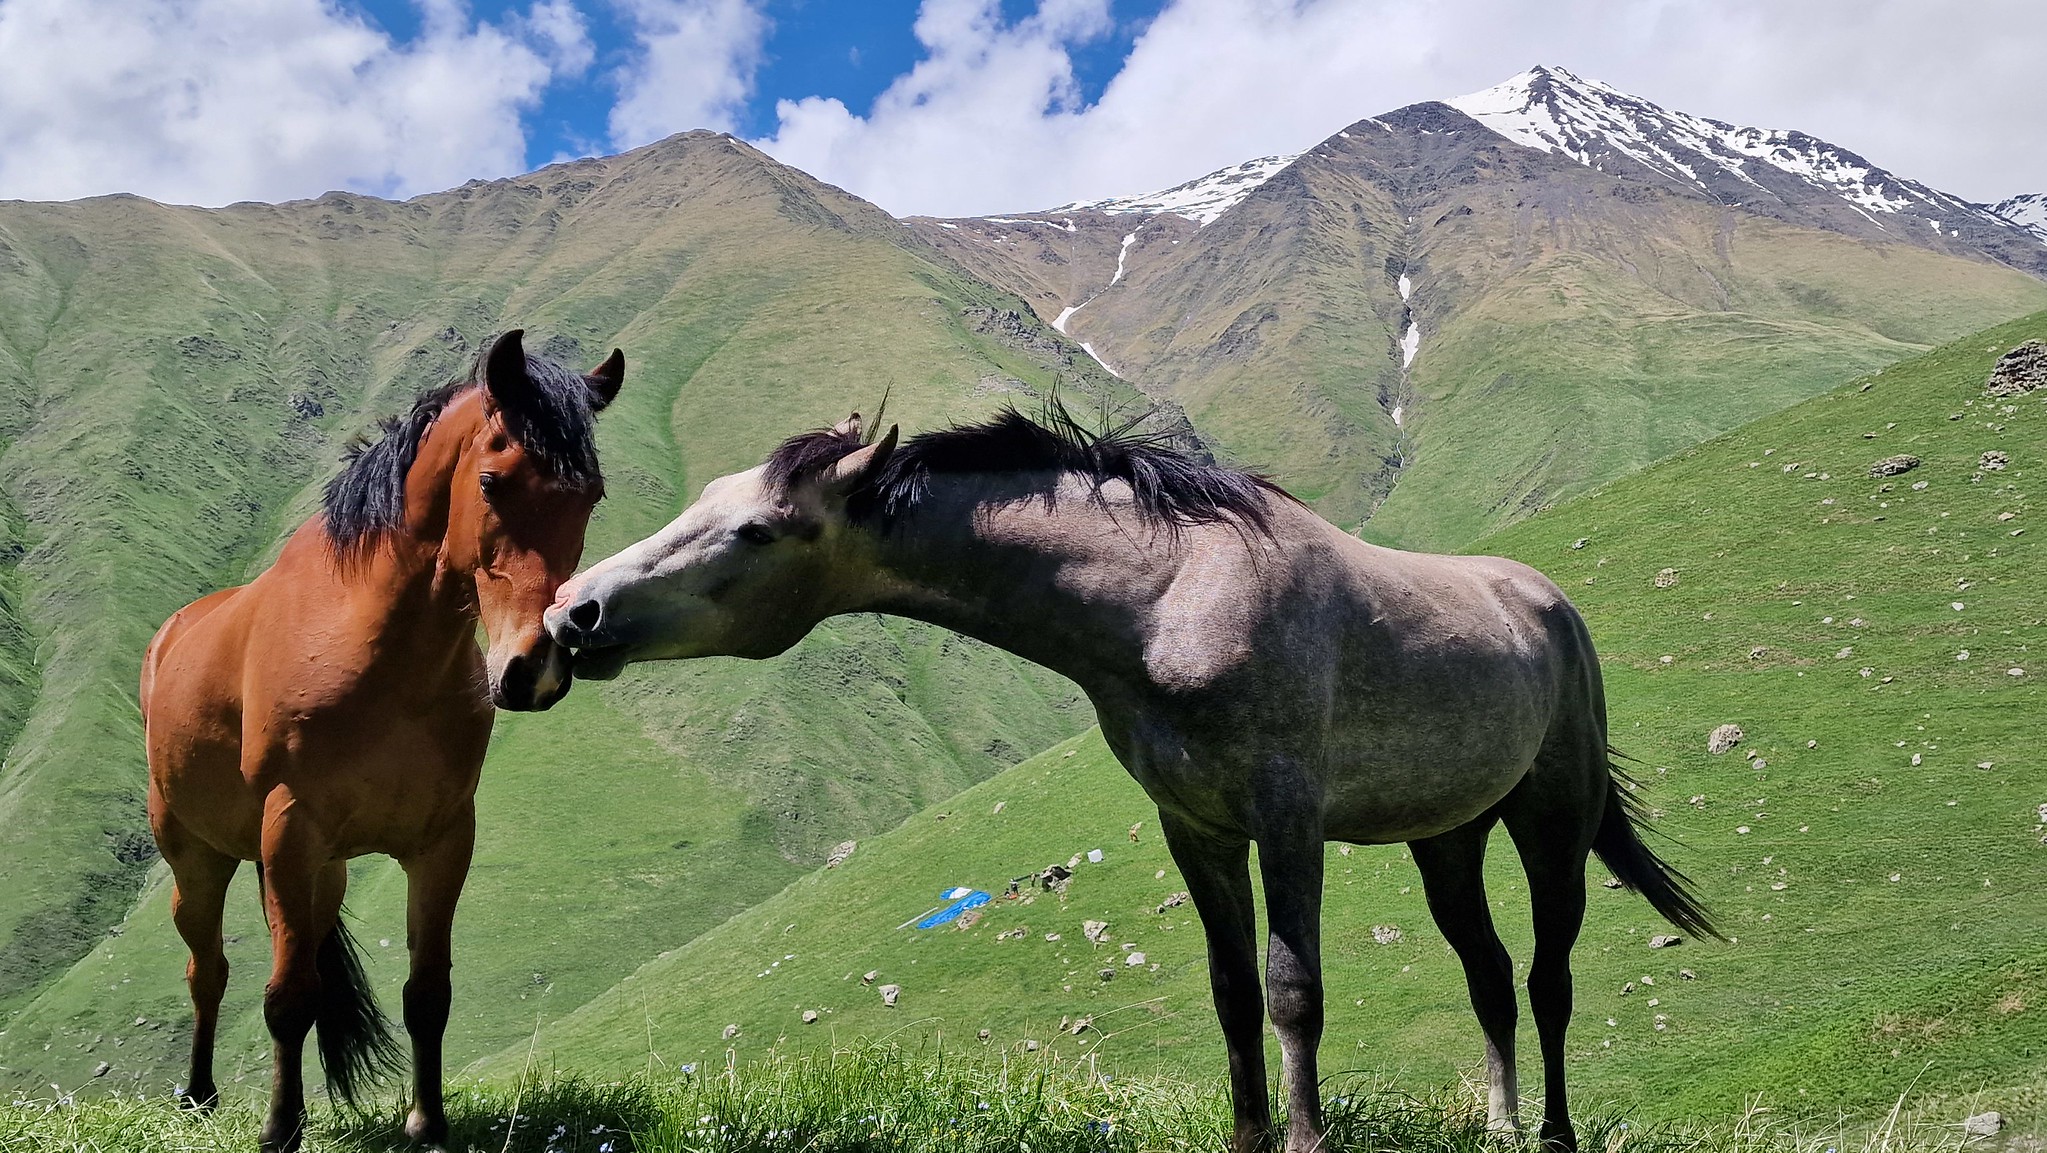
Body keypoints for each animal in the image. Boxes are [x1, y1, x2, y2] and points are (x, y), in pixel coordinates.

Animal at [141, 329, 618, 1146]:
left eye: (591, 495)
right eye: (491, 482)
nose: (538, 668)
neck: (377, 652)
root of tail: (171, 633)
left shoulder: (441, 840)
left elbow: (427, 994)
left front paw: (427, 1124)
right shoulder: (289, 830)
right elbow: (286, 997)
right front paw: (281, 1129)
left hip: (320, 873)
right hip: (197, 858)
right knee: (209, 972)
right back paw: (199, 1093)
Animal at [544, 407, 1711, 1153]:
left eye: (754, 528)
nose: (573, 611)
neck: (1169, 598)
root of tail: (1548, 606)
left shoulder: (1286, 818)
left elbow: (1292, 992)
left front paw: (1302, 1139)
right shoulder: (1197, 827)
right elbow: (1233, 993)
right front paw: (1248, 1136)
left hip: (1550, 823)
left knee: (1548, 976)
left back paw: (1552, 1132)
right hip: (1447, 836)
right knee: (1489, 974)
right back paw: (1502, 1125)